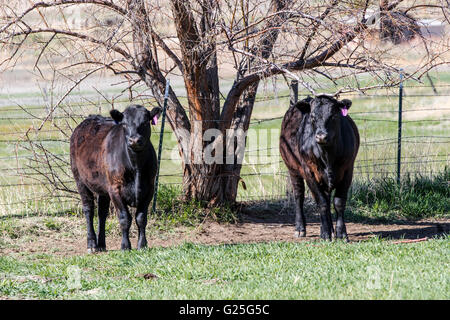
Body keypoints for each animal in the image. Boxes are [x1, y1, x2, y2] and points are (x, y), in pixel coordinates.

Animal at [70, 105, 162, 252]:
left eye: (145, 122)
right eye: (124, 124)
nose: (134, 140)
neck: (136, 165)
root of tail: (92, 118)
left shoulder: (149, 188)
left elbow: (141, 218)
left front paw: (142, 245)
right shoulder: (115, 189)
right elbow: (125, 218)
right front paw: (125, 246)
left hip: (102, 187)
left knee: (102, 212)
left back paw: (101, 244)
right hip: (80, 180)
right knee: (89, 209)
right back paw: (92, 244)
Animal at [280, 95, 360, 240]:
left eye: (333, 115)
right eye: (312, 116)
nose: (321, 136)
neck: (328, 154)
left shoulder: (348, 170)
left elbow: (338, 202)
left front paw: (340, 233)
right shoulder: (309, 172)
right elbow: (321, 202)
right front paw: (325, 234)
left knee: (327, 200)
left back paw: (330, 229)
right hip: (293, 169)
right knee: (299, 196)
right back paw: (300, 228)